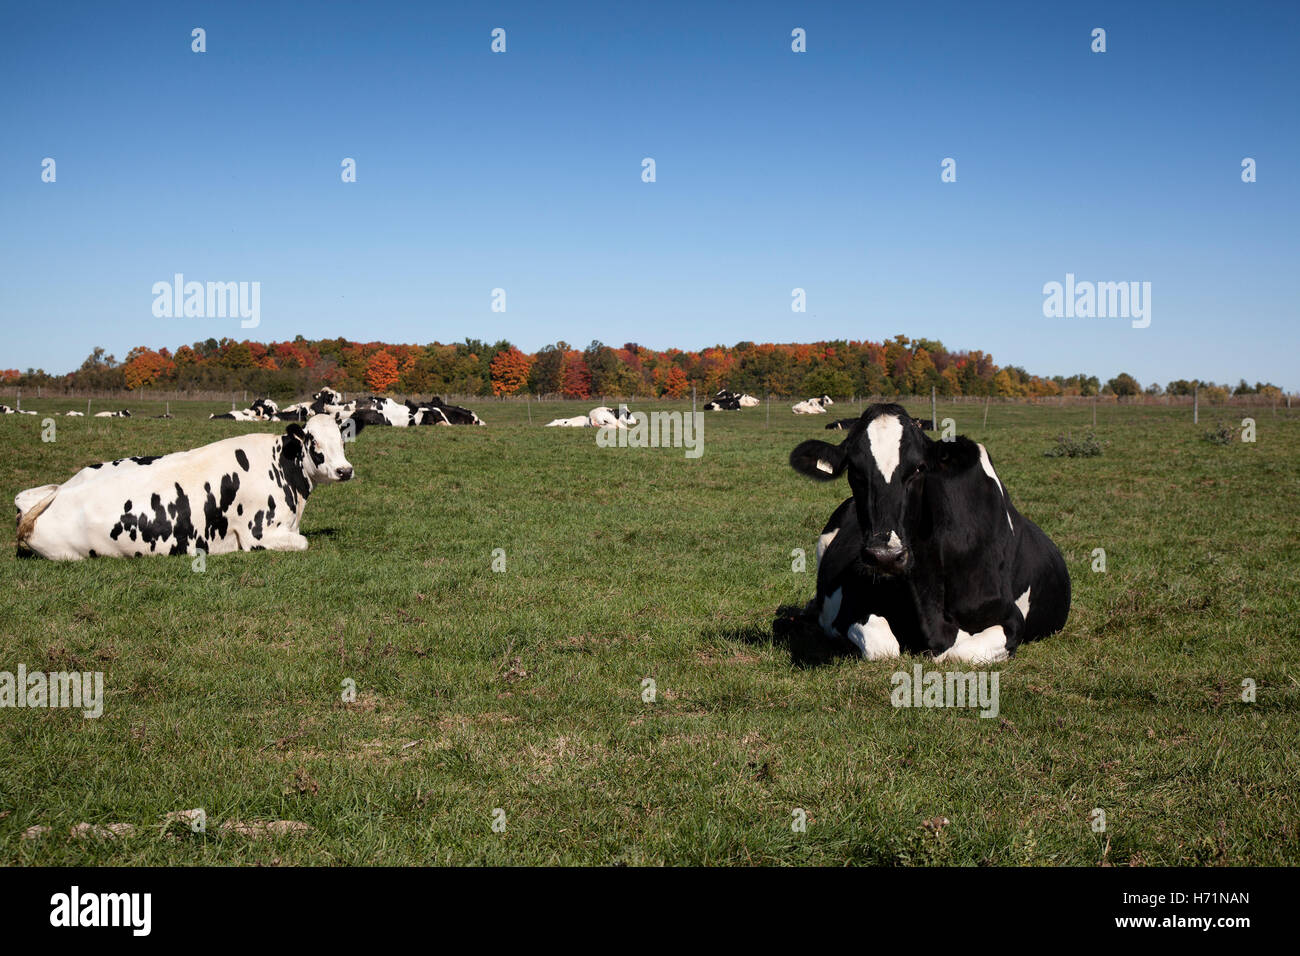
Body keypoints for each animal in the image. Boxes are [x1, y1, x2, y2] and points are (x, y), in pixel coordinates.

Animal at [789, 403, 1070, 663]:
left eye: (918, 469)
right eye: (855, 471)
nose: (884, 556)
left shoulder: (1011, 618)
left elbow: (958, 653)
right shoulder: (850, 606)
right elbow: (884, 648)